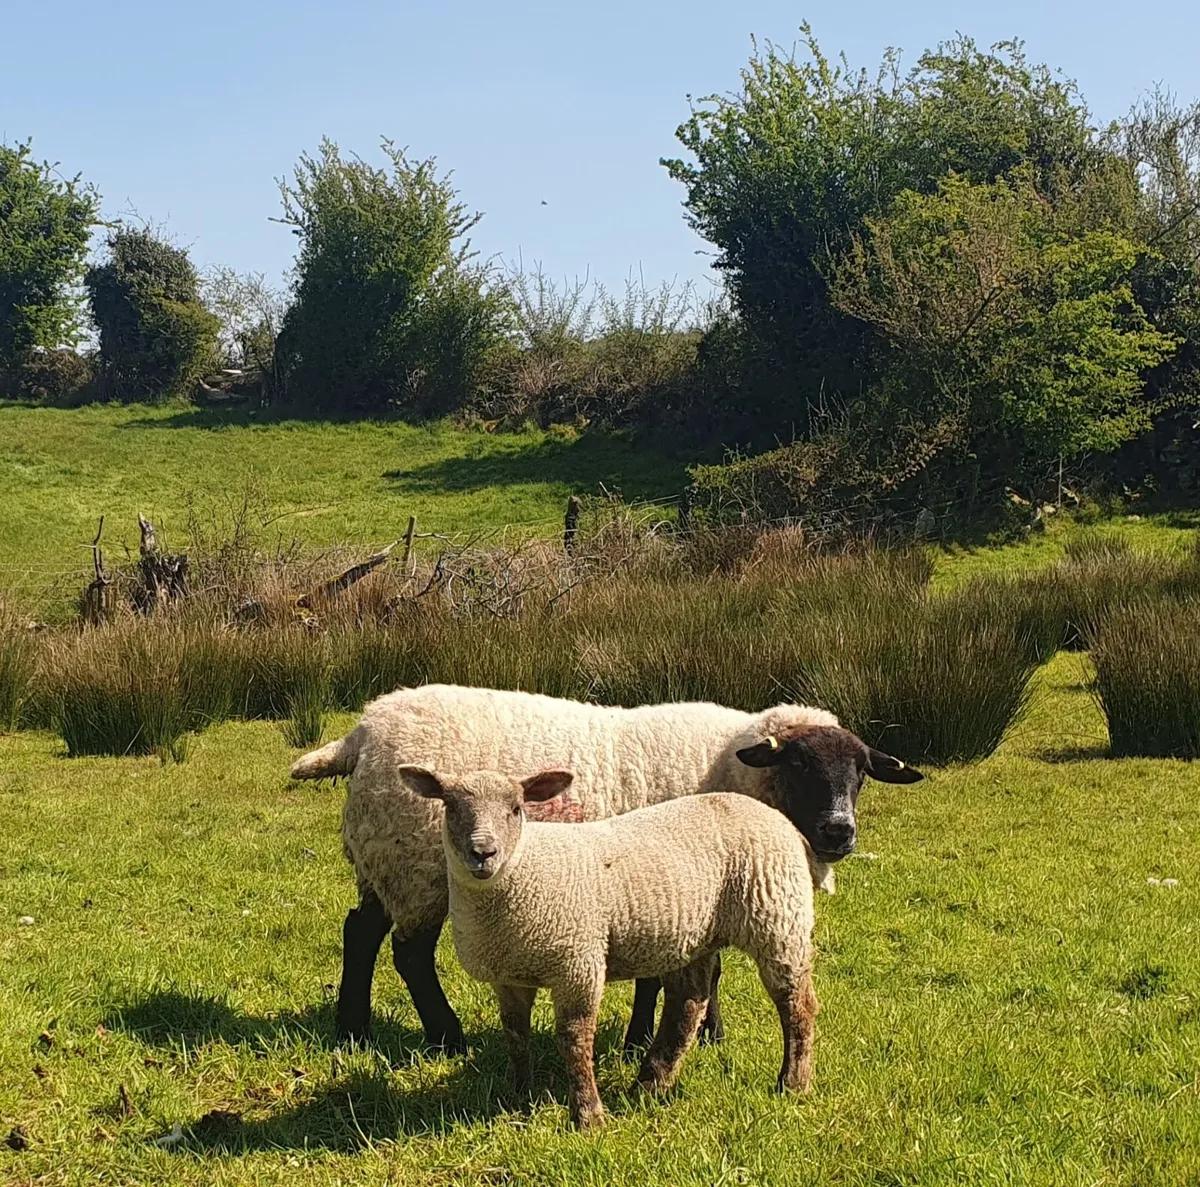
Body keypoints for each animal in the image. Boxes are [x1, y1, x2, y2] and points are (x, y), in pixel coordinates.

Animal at [290, 683, 923, 1053]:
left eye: (861, 773)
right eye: (798, 763)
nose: (839, 832)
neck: (728, 766)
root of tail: (361, 733)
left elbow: (704, 969)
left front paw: (706, 1037)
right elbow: (665, 976)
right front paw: (653, 1040)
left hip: (383, 856)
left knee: (360, 931)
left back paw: (352, 1030)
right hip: (418, 864)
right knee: (410, 952)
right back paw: (447, 1037)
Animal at [402, 763, 821, 1131]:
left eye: (516, 808)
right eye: (450, 806)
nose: (483, 853)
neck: (525, 871)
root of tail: (781, 821)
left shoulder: (578, 963)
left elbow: (573, 1039)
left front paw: (588, 1117)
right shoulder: (509, 976)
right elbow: (515, 1032)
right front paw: (516, 1092)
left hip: (778, 917)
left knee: (797, 1003)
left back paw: (792, 1082)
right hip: (696, 933)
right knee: (687, 1004)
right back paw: (650, 1084)